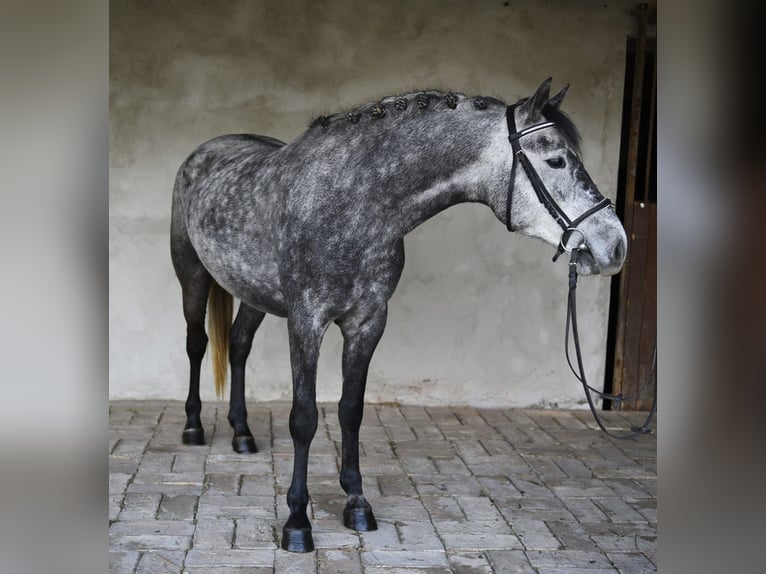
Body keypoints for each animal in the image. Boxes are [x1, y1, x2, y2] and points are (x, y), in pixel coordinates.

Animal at [169, 78, 628, 552]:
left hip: (253, 294)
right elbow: (304, 418)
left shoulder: (368, 322)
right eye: (556, 160)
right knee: (197, 344)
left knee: (239, 345)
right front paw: (297, 521)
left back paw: (242, 434)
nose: (615, 246)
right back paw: (193, 428)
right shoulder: (306, 321)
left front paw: (357, 504)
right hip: (192, 276)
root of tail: (208, 149)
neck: (353, 201)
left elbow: (350, 410)